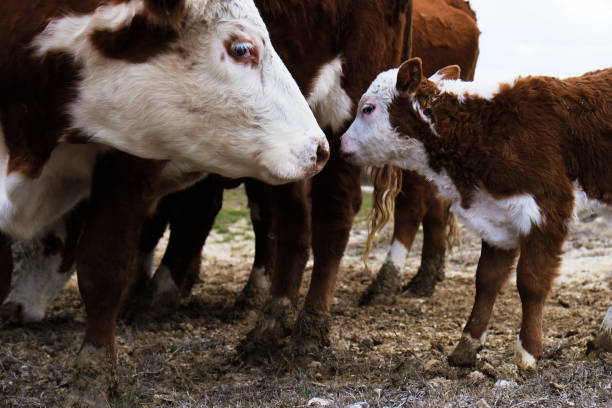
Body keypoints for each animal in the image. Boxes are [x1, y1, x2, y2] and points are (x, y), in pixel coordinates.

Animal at [340, 56, 612, 370]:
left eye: (368, 108)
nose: (341, 144)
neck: (484, 127)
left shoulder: (547, 208)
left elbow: (530, 282)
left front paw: (527, 352)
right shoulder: (497, 217)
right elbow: (486, 280)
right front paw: (466, 347)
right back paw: (604, 339)